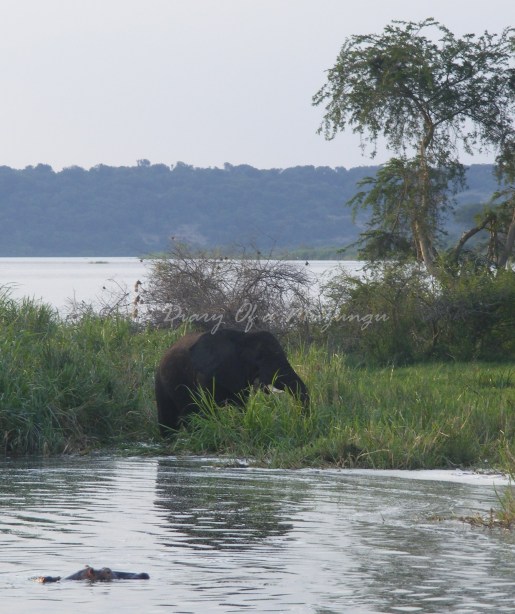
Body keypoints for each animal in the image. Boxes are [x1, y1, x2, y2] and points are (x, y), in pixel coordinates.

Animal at [155, 330, 308, 436]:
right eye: (260, 358)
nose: (301, 420)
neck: (242, 339)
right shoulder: (205, 375)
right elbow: (207, 407)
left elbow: (241, 405)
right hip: (161, 381)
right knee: (168, 420)